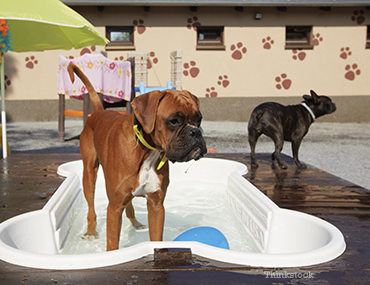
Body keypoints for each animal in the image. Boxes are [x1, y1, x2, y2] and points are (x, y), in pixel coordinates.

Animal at [66, 63, 205, 248]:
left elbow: (156, 239)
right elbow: (112, 245)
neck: (148, 151)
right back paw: (91, 232)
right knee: (91, 208)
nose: (195, 132)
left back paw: (135, 222)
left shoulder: (156, 206)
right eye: (174, 120)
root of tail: (98, 112)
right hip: (89, 175)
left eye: (199, 119)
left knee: (129, 204)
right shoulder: (114, 208)